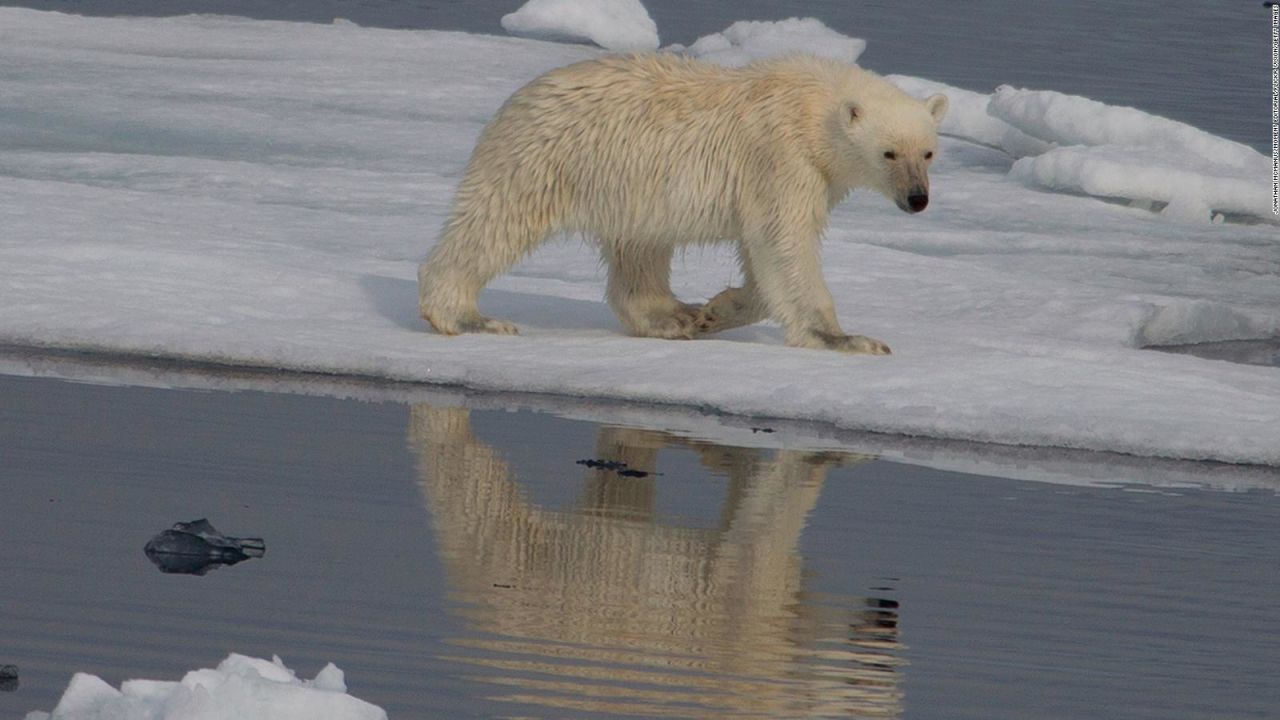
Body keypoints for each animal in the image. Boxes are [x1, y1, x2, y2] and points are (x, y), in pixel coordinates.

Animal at [414, 51, 947, 353]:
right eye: (889, 152)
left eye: (928, 152)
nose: (917, 198)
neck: (813, 108)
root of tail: (517, 99)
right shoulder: (781, 157)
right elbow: (785, 243)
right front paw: (847, 339)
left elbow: (764, 253)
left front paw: (716, 310)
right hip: (546, 158)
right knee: (494, 222)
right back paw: (468, 317)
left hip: (629, 186)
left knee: (640, 250)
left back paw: (673, 317)